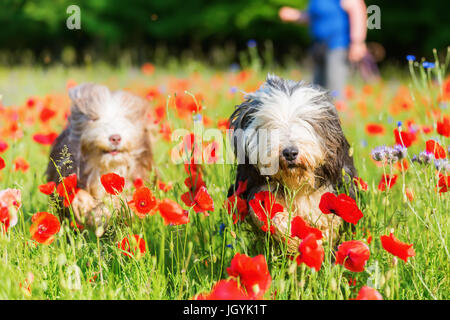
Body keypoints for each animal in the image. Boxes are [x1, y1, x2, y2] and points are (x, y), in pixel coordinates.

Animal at [46, 84, 155, 230]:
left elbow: (122, 201)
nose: (115, 138)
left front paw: (102, 214)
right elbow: (75, 194)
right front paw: (85, 208)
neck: (106, 166)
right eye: (94, 119)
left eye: (127, 120)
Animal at [227, 75, 356, 250]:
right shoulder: (257, 188)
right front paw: (292, 240)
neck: (295, 183)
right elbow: (270, 215)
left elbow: (328, 223)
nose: (290, 153)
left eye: (305, 121)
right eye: (269, 124)